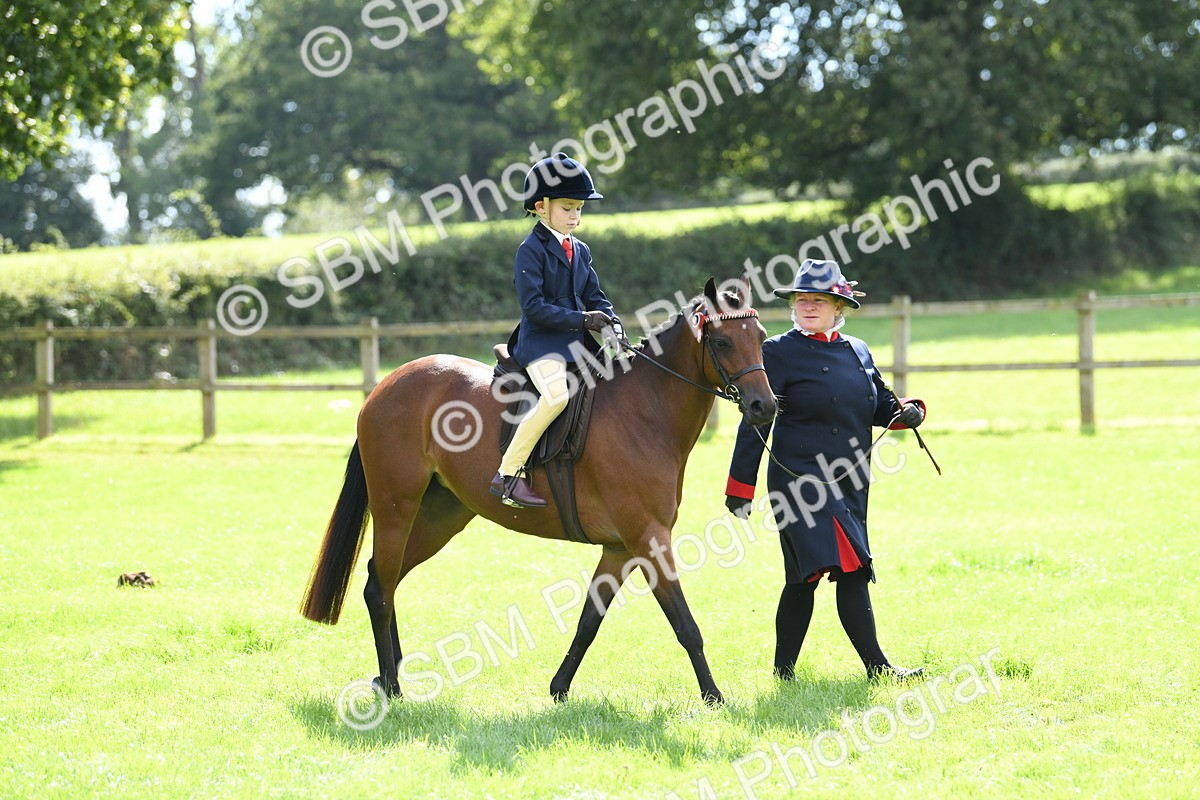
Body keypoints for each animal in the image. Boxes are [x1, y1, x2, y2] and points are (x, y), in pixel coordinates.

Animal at [299, 276, 778, 705]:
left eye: (760, 337)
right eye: (722, 343)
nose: (764, 407)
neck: (645, 411)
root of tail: (384, 386)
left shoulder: (620, 549)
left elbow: (589, 622)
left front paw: (559, 688)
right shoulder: (649, 539)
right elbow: (685, 624)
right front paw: (714, 697)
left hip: (439, 517)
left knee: (384, 579)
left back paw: (391, 676)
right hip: (395, 508)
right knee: (380, 589)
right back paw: (393, 688)